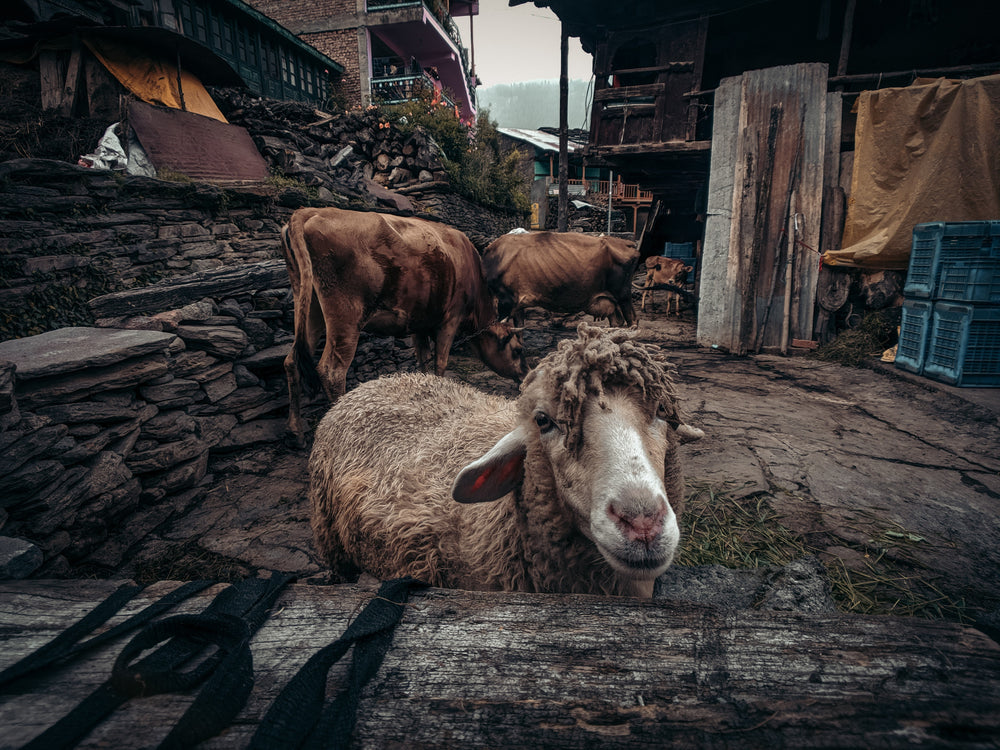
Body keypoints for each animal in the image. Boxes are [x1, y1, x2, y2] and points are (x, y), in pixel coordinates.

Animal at [282, 206, 528, 444]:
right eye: (517, 350)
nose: (525, 376)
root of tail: (308, 211)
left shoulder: (419, 324)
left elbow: (423, 362)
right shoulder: (450, 320)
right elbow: (440, 363)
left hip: (309, 306)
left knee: (292, 360)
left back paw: (296, 432)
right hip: (346, 315)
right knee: (332, 372)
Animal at [482, 231, 640, 328]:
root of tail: (626, 243)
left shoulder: (505, 301)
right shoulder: (517, 304)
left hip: (622, 294)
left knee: (632, 320)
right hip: (609, 298)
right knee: (616, 322)